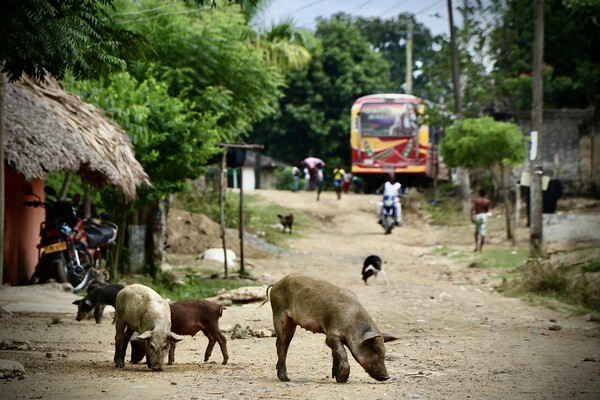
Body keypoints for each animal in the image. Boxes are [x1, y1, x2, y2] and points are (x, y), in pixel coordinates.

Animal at [264, 274, 396, 382]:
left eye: (384, 350)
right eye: (374, 349)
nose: (386, 377)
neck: (352, 322)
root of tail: (276, 283)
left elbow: (335, 353)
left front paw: (338, 378)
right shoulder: (332, 334)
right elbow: (341, 352)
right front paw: (343, 379)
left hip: (292, 323)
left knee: (285, 344)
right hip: (278, 313)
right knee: (280, 345)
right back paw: (285, 379)